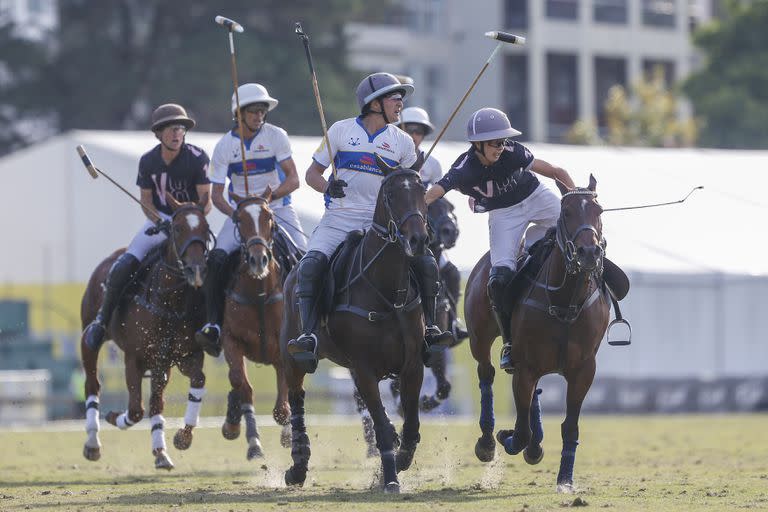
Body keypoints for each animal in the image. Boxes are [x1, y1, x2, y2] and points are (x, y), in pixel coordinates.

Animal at [80, 193, 210, 472]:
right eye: (177, 228)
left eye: (205, 229)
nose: (196, 270)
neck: (171, 301)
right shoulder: (134, 358)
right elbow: (136, 409)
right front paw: (114, 416)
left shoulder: (184, 356)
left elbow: (197, 381)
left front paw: (182, 439)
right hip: (89, 335)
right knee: (93, 383)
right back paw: (93, 442)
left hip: (161, 364)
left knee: (156, 401)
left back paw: (160, 452)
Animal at [222, 188, 294, 460]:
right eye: (239, 219)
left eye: (269, 218)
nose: (258, 260)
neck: (260, 294)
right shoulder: (231, 340)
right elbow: (241, 383)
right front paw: (253, 443)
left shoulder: (284, 348)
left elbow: (282, 408)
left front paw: (289, 435)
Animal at [280, 155, 428, 492]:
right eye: (390, 195)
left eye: (423, 190)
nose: (418, 239)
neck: (387, 292)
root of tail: (294, 267)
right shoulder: (364, 368)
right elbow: (382, 425)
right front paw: (390, 479)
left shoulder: (413, 364)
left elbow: (411, 423)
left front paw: (400, 460)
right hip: (293, 353)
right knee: (297, 397)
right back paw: (298, 467)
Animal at [464, 175, 608, 492]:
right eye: (566, 212)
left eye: (599, 211)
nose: (589, 253)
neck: (564, 302)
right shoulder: (526, 366)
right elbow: (520, 431)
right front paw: (506, 438)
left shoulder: (583, 371)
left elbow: (569, 426)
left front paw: (565, 480)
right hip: (480, 337)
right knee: (486, 373)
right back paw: (487, 441)